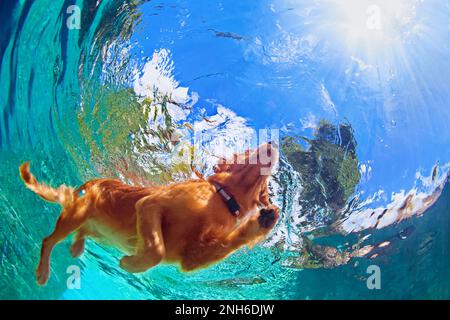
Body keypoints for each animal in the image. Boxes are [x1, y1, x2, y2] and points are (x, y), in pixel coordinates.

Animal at [19, 142, 280, 284]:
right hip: (76, 216)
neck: (222, 198)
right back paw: (43, 271)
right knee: (48, 240)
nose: (273, 141)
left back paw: (76, 247)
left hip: (99, 232)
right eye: (248, 149)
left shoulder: (191, 257)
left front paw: (266, 219)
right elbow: (156, 250)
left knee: (82, 233)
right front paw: (131, 263)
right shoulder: (150, 205)